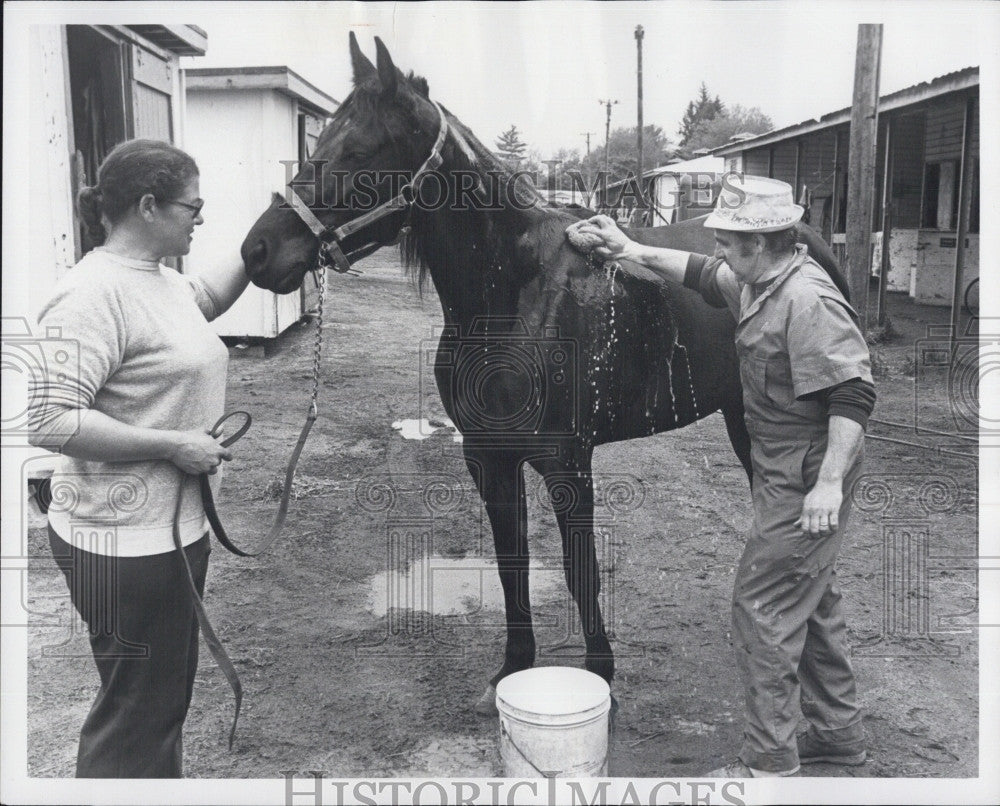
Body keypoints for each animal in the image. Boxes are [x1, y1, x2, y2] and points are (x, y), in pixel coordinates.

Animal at [240, 33, 844, 712]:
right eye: (319, 145)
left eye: (361, 151)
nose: (258, 251)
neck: (514, 296)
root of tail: (809, 242)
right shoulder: (488, 456)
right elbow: (513, 567)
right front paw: (513, 668)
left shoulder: (566, 459)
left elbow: (581, 569)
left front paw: (601, 674)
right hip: (743, 417)